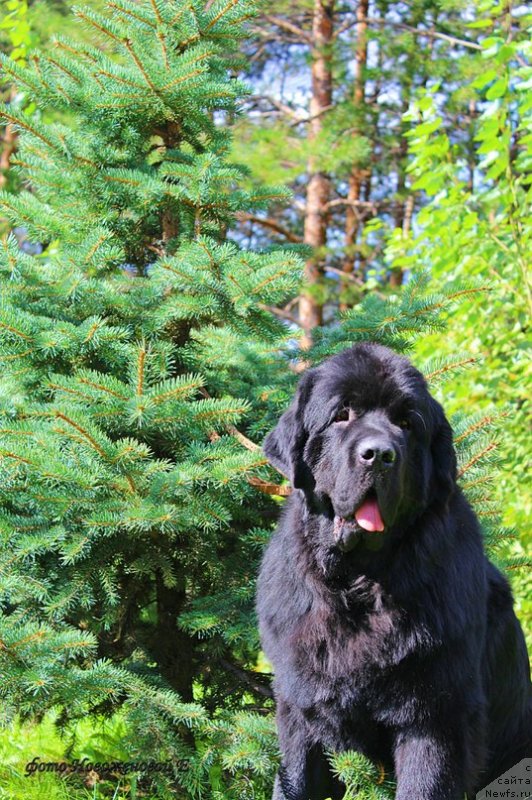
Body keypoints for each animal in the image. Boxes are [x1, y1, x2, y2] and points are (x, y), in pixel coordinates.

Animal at [256, 344, 528, 800]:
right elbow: (294, 779)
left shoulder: (434, 716)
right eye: (342, 414)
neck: (359, 585)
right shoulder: (301, 709)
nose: (379, 454)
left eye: (406, 423)